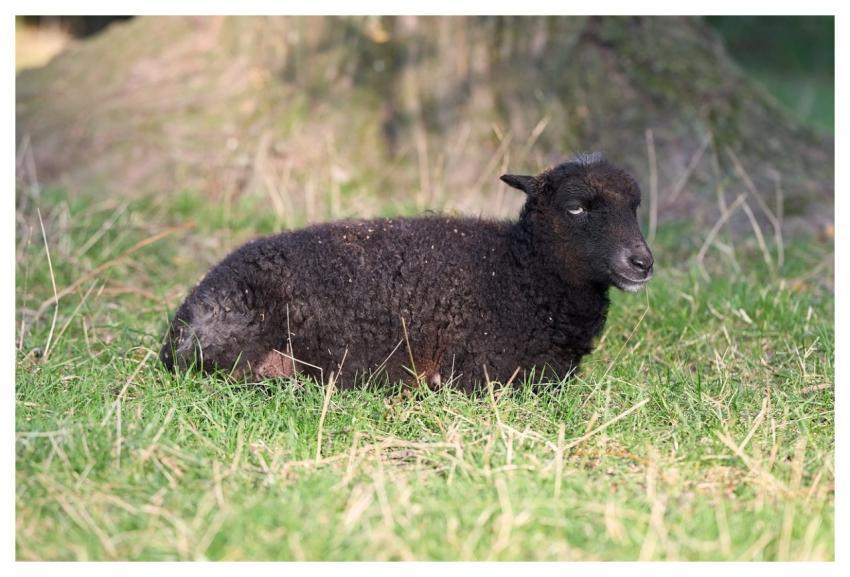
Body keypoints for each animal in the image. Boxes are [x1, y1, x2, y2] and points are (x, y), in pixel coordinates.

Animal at [159, 154, 654, 391]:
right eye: (575, 207)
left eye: (635, 206)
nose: (642, 263)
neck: (519, 272)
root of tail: (178, 326)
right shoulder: (485, 375)